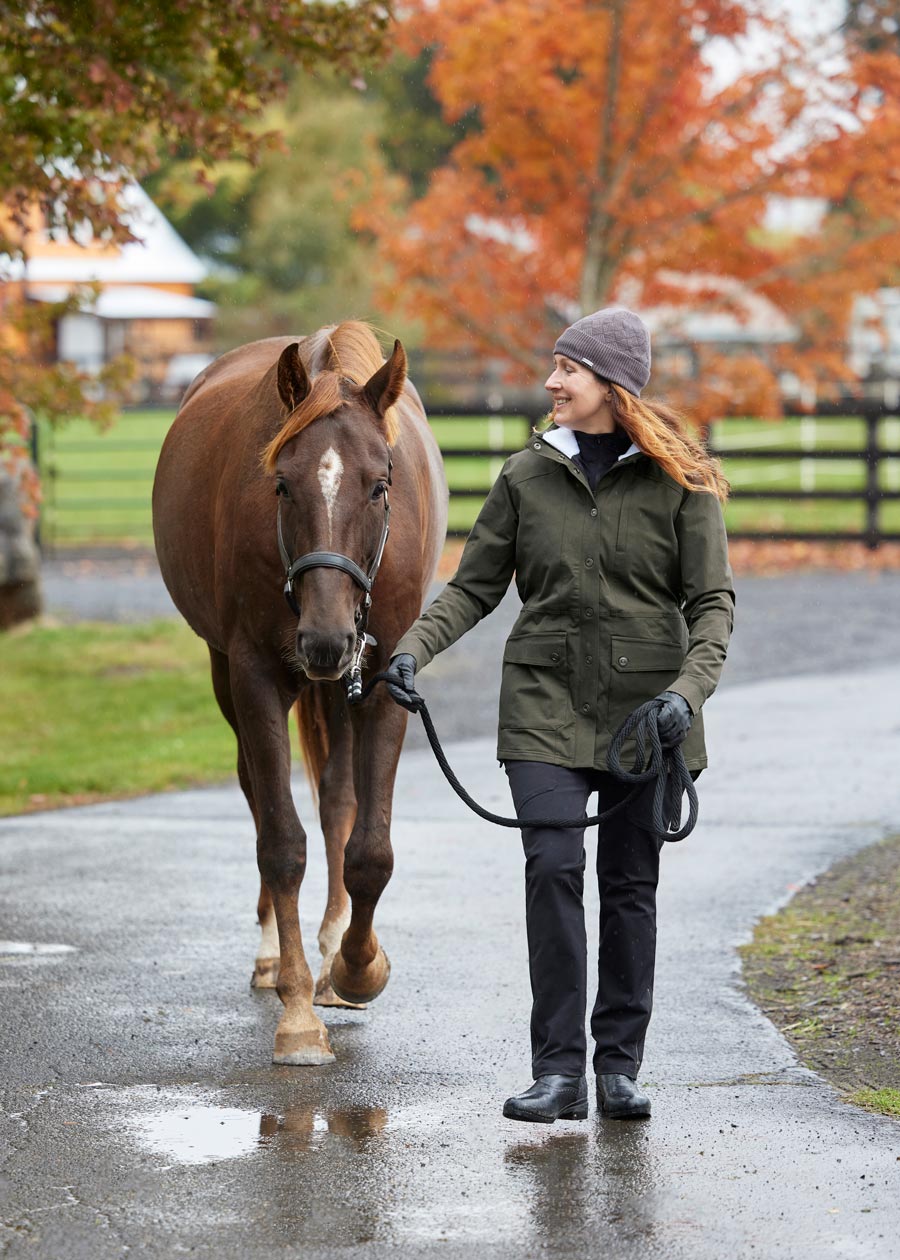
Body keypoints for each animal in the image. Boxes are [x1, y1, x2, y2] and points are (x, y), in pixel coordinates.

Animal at [155, 322, 451, 1063]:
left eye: (380, 484)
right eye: (282, 485)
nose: (324, 639)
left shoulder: (383, 680)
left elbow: (369, 851)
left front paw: (357, 967)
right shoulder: (254, 675)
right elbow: (282, 843)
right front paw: (296, 1016)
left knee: (338, 802)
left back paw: (331, 949)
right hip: (231, 676)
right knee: (260, 798)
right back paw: (275, 958)